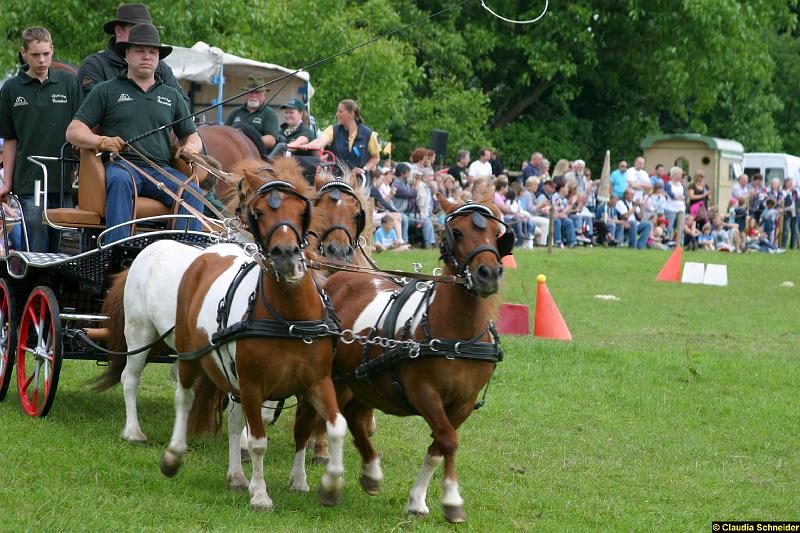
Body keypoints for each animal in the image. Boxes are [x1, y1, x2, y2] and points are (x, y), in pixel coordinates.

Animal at [290, 193, 510, 520]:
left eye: (497, 234)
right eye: (457, 232)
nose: (489, 274)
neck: (457, 335)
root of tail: (337, 279)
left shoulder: (463, 403)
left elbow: (439, 446)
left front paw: (419, 500)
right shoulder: (424, 393)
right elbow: (448, 440)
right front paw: (452, 500)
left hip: (362, 381)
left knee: (354, 417)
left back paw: (371, 471)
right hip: (325, 377)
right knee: (306, 421)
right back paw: (300, 477)